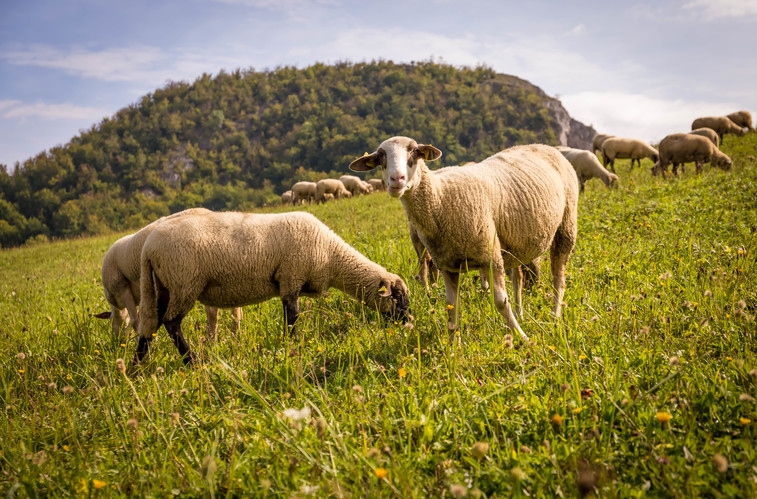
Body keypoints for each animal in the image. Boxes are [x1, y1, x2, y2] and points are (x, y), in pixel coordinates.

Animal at [96, 209, 241, 342]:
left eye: (110, 322)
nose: (118, 343)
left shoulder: (122, 288)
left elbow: (135, 321)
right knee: (234, 310)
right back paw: (234, 336)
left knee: (213, 312)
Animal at [133, 209, 410, 366]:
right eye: (397, 296)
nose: (409, 322)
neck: (332, 255)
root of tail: (148, 248)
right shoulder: (291, 276)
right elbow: (292, 315)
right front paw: (290, 345)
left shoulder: (292, 279)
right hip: (184, 283)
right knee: (171, 323)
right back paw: (190, 361)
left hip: (162, 286)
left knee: (150, 325)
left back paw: (137, 366)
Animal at [350, 136, 580, 344]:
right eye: (380, 157)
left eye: (414, 151)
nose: (396, 179)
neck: (440, 198)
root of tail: (542, 145)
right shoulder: (448, 267)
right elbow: (452, 309)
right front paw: (453, 349)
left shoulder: (491, 258)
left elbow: (500, 303)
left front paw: (522, 338)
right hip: (514, 242)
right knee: (519, 278)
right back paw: (520, 314)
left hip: (566, 226)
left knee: (559, 277)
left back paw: (554, 315)